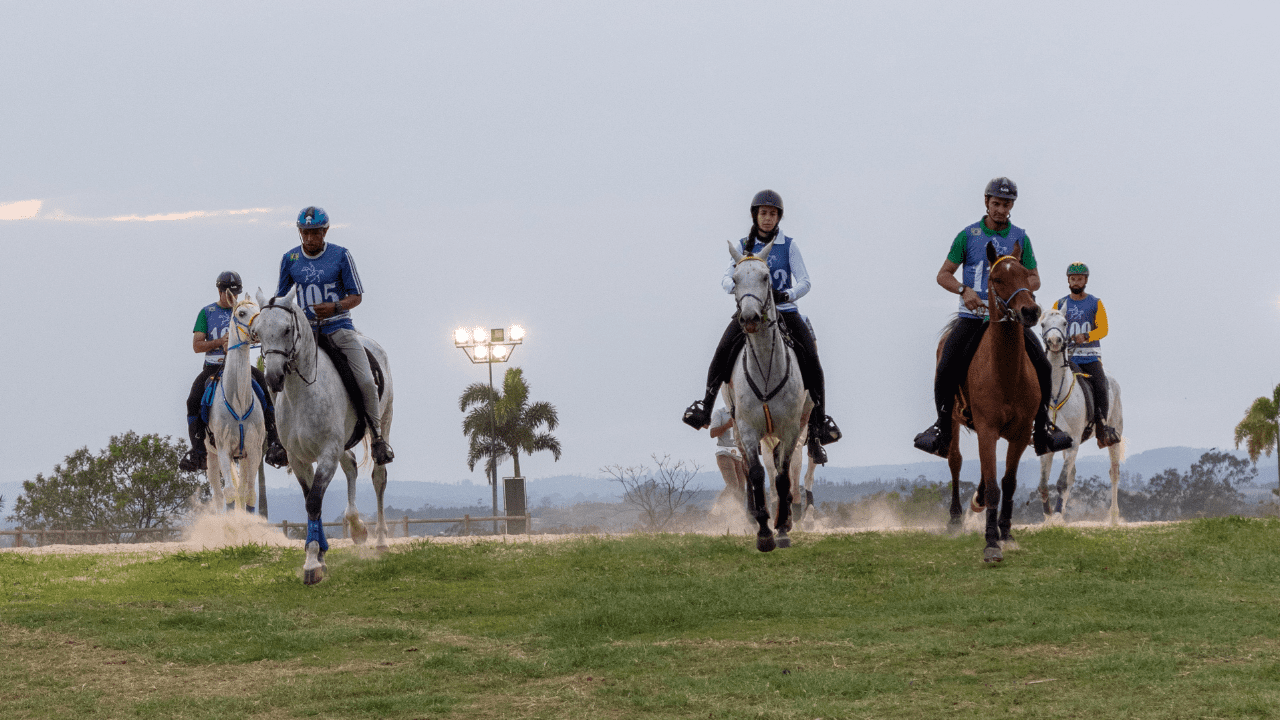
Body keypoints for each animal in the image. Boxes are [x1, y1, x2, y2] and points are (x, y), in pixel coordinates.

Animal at [204, 294, 264, 512]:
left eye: (260, 309)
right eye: (241, 313)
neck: (237, 401)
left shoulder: (254, 451)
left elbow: (250, 495)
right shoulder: (223, 450)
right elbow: (229, 494)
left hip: (243, 458)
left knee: (242, 490)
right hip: (211, 456)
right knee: (218, 495)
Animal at [248, 285, 389, 584]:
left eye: (287, 329)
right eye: (258, 331)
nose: (273, 377)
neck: (303, 392)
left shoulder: (327, 454)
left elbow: (314, 502)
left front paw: (312, 562)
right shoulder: (299, 458)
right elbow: (310, 501)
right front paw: (320, 555)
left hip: (384, 419)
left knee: (379, 476)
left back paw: (381, 540)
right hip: (342, 444)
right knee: (351, 467)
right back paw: (357, 528)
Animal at [942, 239, 1039, 561]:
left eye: (1026, 275)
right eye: (997, 279)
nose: (1030, 311)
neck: (1005, 372)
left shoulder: (1020, 433)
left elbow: (1007, 484)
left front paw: (1005, 533)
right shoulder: (987, 429)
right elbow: (995, 485)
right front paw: (991, 543)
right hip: (952, 420)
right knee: (955, 460)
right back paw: (955, 519)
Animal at [1034, 307, 1126, 520]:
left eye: (1064, 322)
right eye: (1042, 324)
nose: (1054, 341)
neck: (1057, 392)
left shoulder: (1074, 441)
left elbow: (1061, 482)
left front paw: (1056, 516)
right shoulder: (1051, 443)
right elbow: (1043, 484)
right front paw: (1049, 516)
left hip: (1114, 435)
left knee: (1114, 473)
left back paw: (1113, 518)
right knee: (1073, 475)